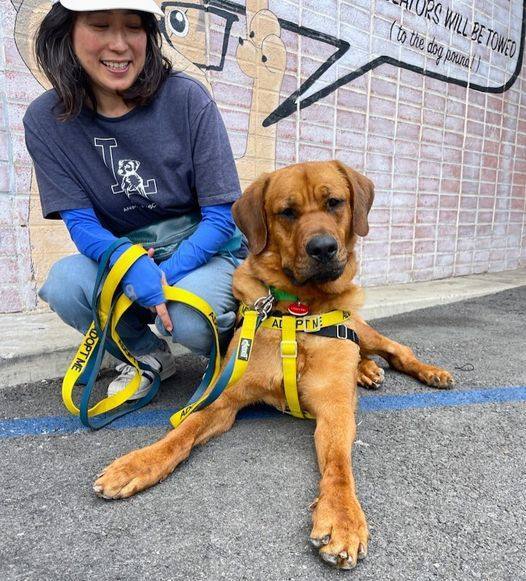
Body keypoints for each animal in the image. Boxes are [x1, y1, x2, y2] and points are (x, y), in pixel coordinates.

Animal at [96, 161, 458, 568]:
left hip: (363, 329)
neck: (298, 312)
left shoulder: (335, 410)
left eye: (334, 203)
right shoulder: (223, 400)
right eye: (287, 212)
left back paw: (427, 372)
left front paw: (342, 516)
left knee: (396, 349)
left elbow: (339, 465)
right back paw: (366, 371)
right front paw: (138, 464)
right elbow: (182, 432)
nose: (323, 248)